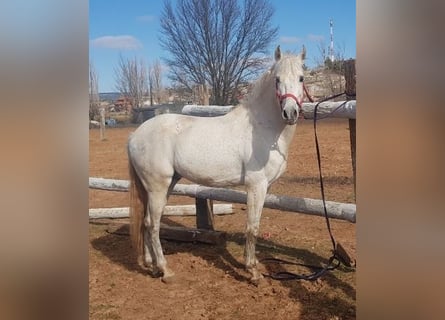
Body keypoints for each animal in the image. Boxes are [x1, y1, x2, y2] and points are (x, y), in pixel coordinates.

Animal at [129, 45, 306, 282]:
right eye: (277, 80)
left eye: (301, 78)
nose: (290, 113)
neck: (262, 128)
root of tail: (135, 135)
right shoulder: (256, 186)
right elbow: (252, 227)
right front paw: (252, 271)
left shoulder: (265, 187)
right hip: (158, 187)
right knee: (153, 224)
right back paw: (165, 270)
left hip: (164, 186)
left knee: (146, 222)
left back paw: (151, 264)